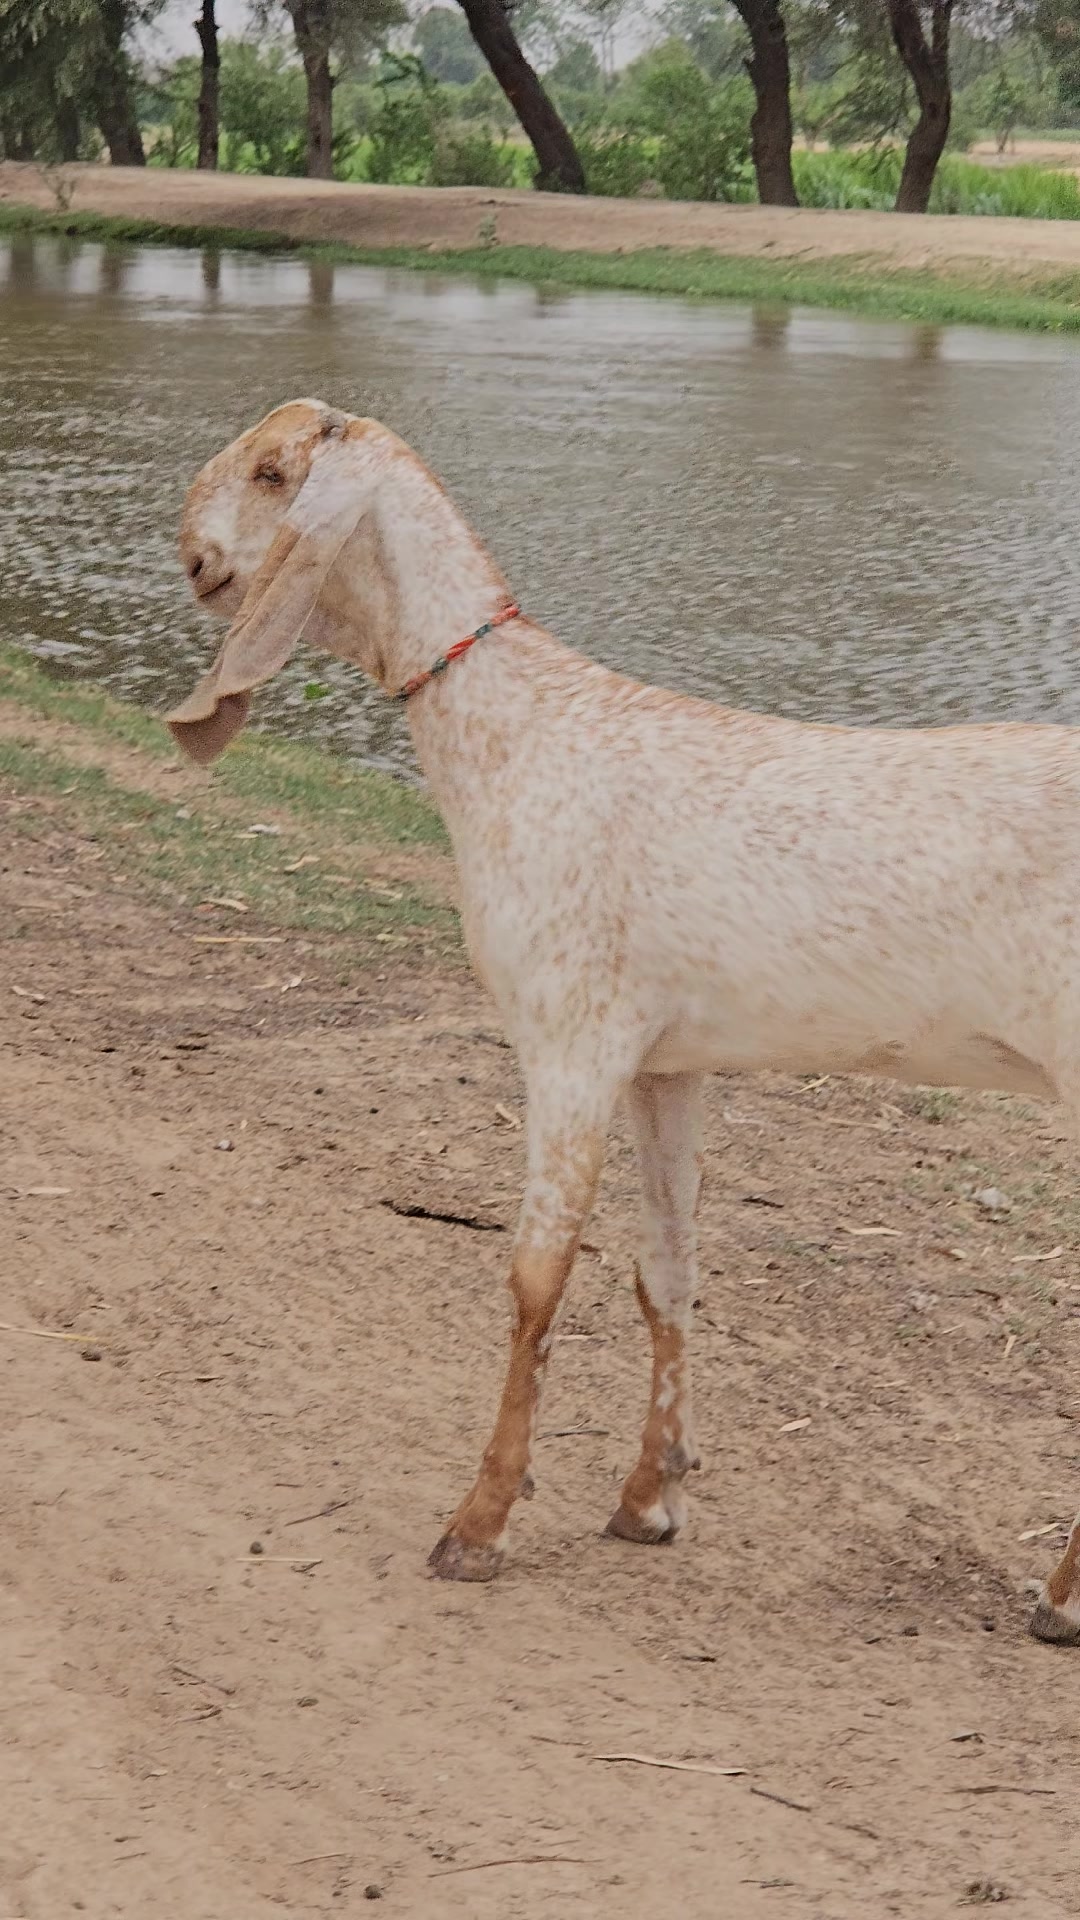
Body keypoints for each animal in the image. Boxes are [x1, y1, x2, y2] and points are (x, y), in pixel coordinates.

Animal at [170, 397, 1080, 1642]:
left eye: (272, 472)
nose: (190, 554)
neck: (519, 730)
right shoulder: (663, 1065)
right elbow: (669, 1270)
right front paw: (650, 1501)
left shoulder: (570, 1042)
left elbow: (535, 1279)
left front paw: (479, 1525)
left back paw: (1061, 1601)